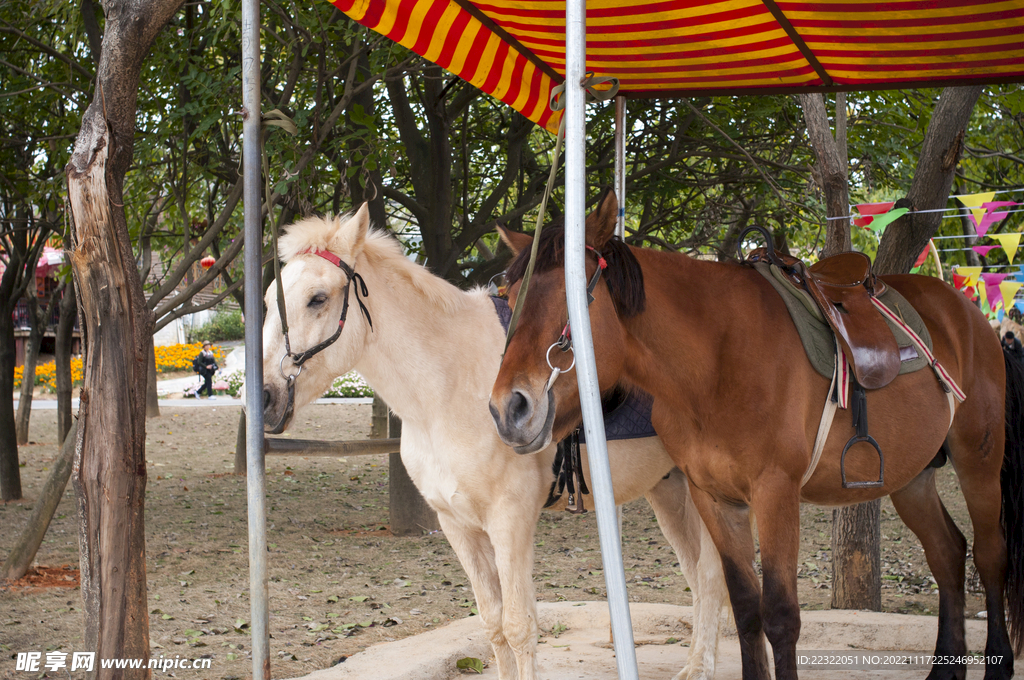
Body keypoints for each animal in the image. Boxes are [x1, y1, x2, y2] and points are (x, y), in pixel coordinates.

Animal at [259, 204, 732, 680]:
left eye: (318, 298)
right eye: (266, 302)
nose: (264, 398)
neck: (449, 386)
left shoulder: (511, 520)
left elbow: (519, 625)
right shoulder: (457, 524)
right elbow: (492, 622)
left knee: (712, 575)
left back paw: (700, 667)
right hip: (668, 489)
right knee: (698, 576)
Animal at [489, 190, 1024, 680]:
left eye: (573, 299)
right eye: (510, 301)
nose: (507, 408)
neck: (715, 364)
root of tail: (968, 315)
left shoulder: (775, 493)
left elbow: (781, 616)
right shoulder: (714, 497)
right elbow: (745, 608)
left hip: (978, 462)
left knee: (989, 554)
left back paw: (997, 665)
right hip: (912, 477)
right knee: (947, 553)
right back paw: (945, 669)